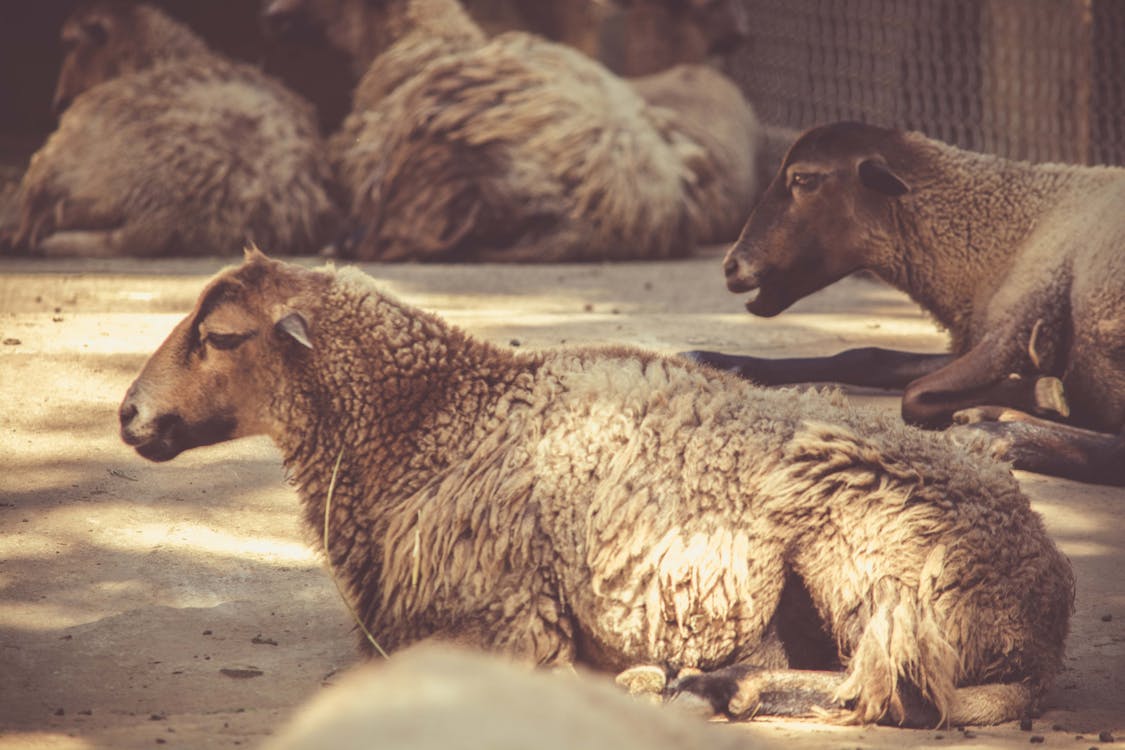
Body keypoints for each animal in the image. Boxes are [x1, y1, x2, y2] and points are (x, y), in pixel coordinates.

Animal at [118, 250, 1075, 728]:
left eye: (221, 334)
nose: (129, 415)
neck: (438, 419)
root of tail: (1045, 609)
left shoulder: (504, 618)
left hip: (869, 559)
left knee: (887, 693)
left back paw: (708, 689)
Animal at [684, 123, 1125, 488]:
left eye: (803, 178)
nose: (731, 265)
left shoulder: (1017, 324)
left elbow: (914, 395)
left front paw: (1037, 396)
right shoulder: (983, 342)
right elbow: (866, 357)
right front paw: (711, 358)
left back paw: (993, 433)